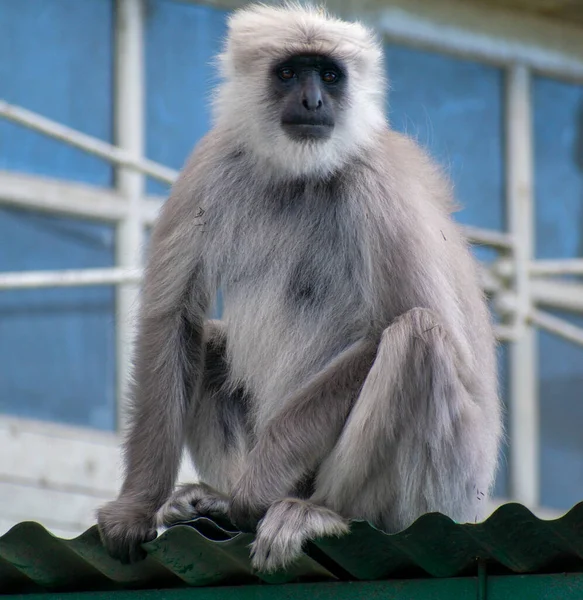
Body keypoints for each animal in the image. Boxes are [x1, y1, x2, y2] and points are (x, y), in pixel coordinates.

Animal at [96, 5, 502, 576]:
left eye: (329, 75)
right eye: (290, 73)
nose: (313, 101)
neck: (299, 174)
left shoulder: (376, 186)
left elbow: (408, 324)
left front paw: (260, 483)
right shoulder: (214, 158)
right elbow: (173, 318)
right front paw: (136, 506)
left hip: (442, 486)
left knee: (418, 333)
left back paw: (321, 511)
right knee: (210, 337)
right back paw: (221, 497)